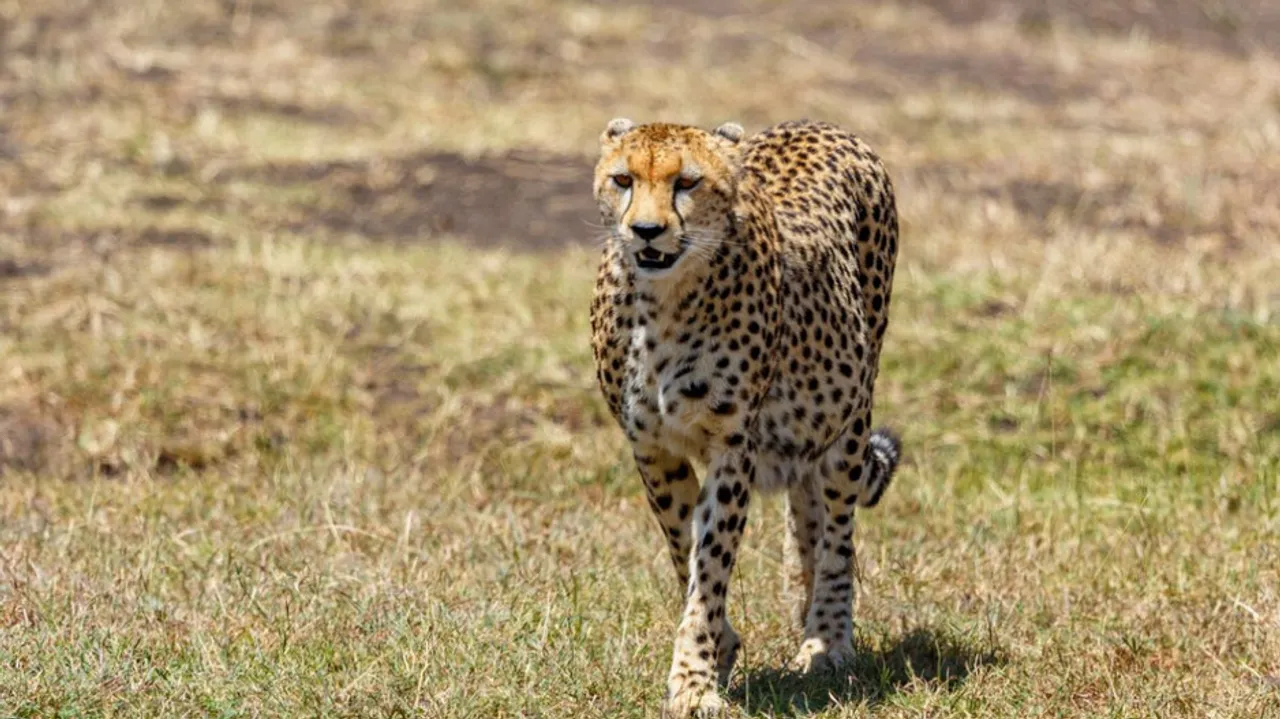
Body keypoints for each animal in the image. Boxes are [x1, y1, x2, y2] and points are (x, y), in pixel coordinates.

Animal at [589, 117, 902, 717]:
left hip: (850, 417)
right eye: (623, 179)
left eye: (687, 182)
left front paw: (694, 680)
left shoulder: (733, 446)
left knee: (838, 531)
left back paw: (826, 639)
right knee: (806, 512)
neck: (664, 300)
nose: (646, 231)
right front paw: (721, 650)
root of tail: (822, 123)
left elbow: (710, 563)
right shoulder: (650, 446)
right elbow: (684, 547)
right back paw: (803, 606)